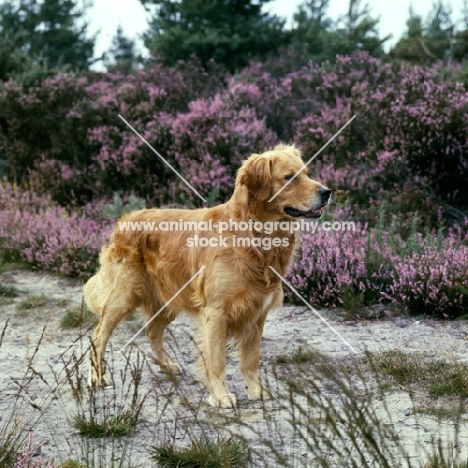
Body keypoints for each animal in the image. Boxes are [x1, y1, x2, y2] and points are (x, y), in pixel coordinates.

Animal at [85, 144, 332, 408]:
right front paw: (221, 395)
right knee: (98, 336)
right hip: (124, 295)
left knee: (152, 332)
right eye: (289, 178)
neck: (254, 237)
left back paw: (168, 366)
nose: (328, 192)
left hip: (167, 298)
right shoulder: (216, 312)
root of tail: (123, 220)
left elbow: (251, 359)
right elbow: (217, 360)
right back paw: (96, 377)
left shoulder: (257, 313)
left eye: (306, 173)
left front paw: (255, 390)